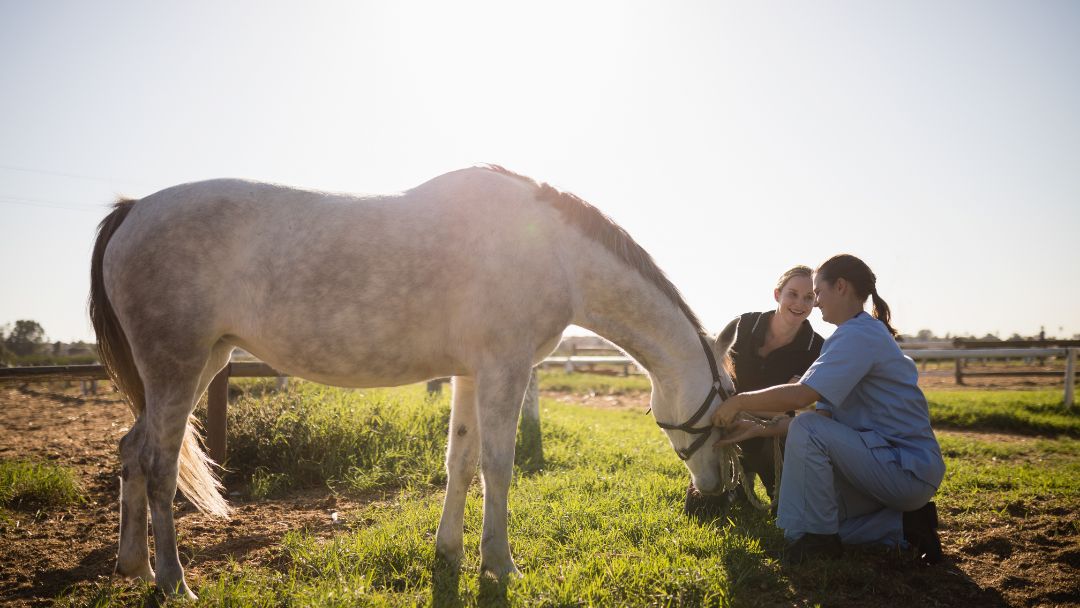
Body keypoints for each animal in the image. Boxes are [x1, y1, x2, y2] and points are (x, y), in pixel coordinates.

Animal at [89, 165, 736, 599]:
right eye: (723, 415)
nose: (713, 493)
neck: (554, 252)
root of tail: (132, 210)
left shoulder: (471, 374)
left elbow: (462, 462)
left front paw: (449, 552)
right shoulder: (505, 369)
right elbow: (499, 467)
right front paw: (500, 565)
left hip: (203, 364)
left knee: (132, 450)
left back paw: (134, 566)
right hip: (177, 368)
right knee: (161, 466)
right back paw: (174, 582)